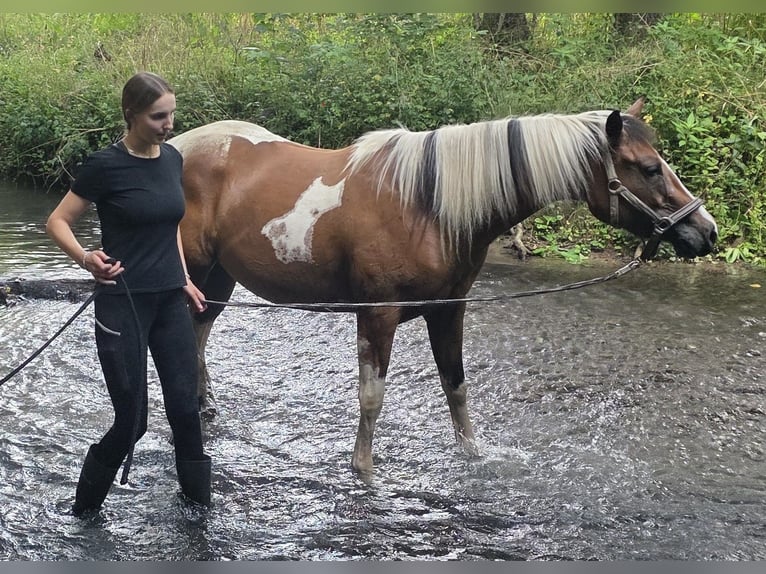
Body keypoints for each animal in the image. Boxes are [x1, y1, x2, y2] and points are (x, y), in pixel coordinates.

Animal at [169, 98, 717, 473]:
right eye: (650, 168)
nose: (706, 231)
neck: (427, 205)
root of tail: (177, 146)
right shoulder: (378, 315)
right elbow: (372, 397)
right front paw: (363, 470)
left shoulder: (449, 309)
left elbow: (456, 387)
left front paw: (473, 457)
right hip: (195, 273)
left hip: (218, 278)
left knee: (200, 331)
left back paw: (205, 402)